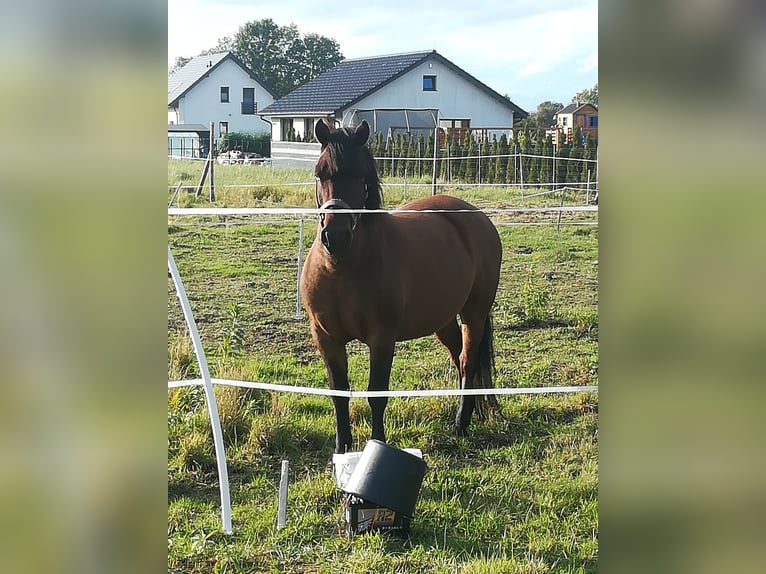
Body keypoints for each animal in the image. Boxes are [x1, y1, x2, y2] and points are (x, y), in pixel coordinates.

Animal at [300, 120, 504, 454]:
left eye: (361, 176)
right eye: (320, 173)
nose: (335, 235)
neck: (341, 268)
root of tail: (475, 217)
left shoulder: (382, 338)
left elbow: (376, 394)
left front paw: (376, 444)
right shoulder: (326, 338)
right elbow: (338, 393)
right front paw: (341, 449)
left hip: (474, 313)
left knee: (468, 360)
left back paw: (461, 423)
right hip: (442, 320)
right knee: (460, 360)